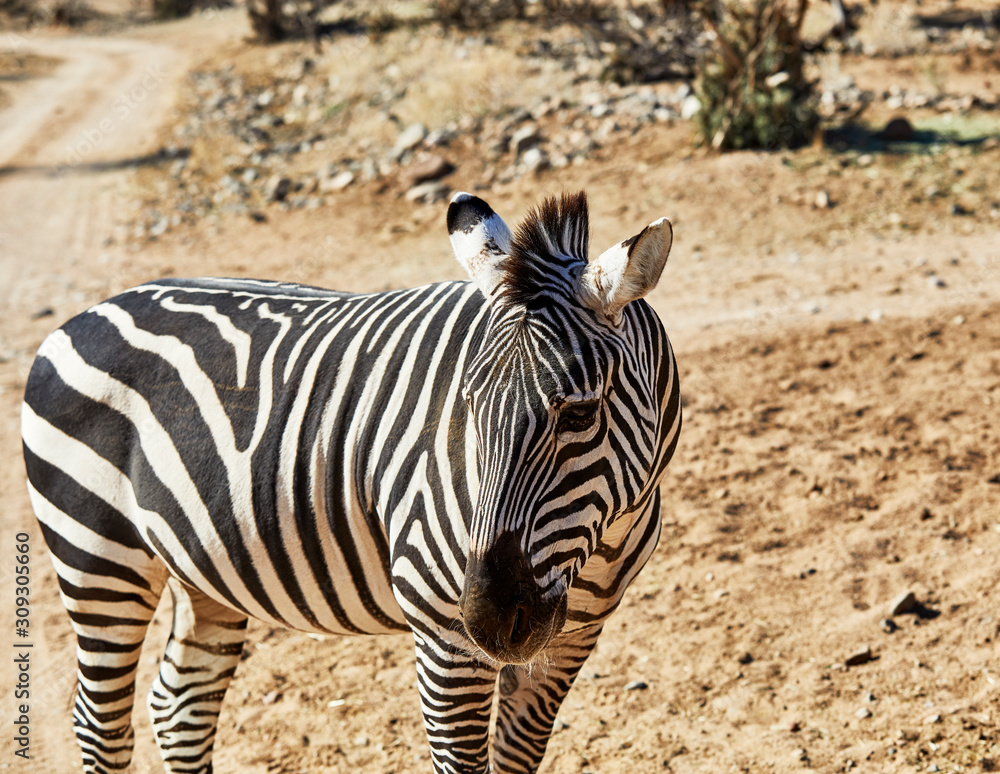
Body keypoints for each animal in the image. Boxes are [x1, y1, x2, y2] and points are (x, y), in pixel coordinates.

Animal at [21, 189, 680, 774]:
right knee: (99, 721)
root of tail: (82, 317)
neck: (601, 541)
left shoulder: (572, 637)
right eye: (466, 406)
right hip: (97, 557)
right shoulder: (443, 636)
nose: (489, 622)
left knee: (179, 707)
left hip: (197, 566)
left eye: (581, 415)